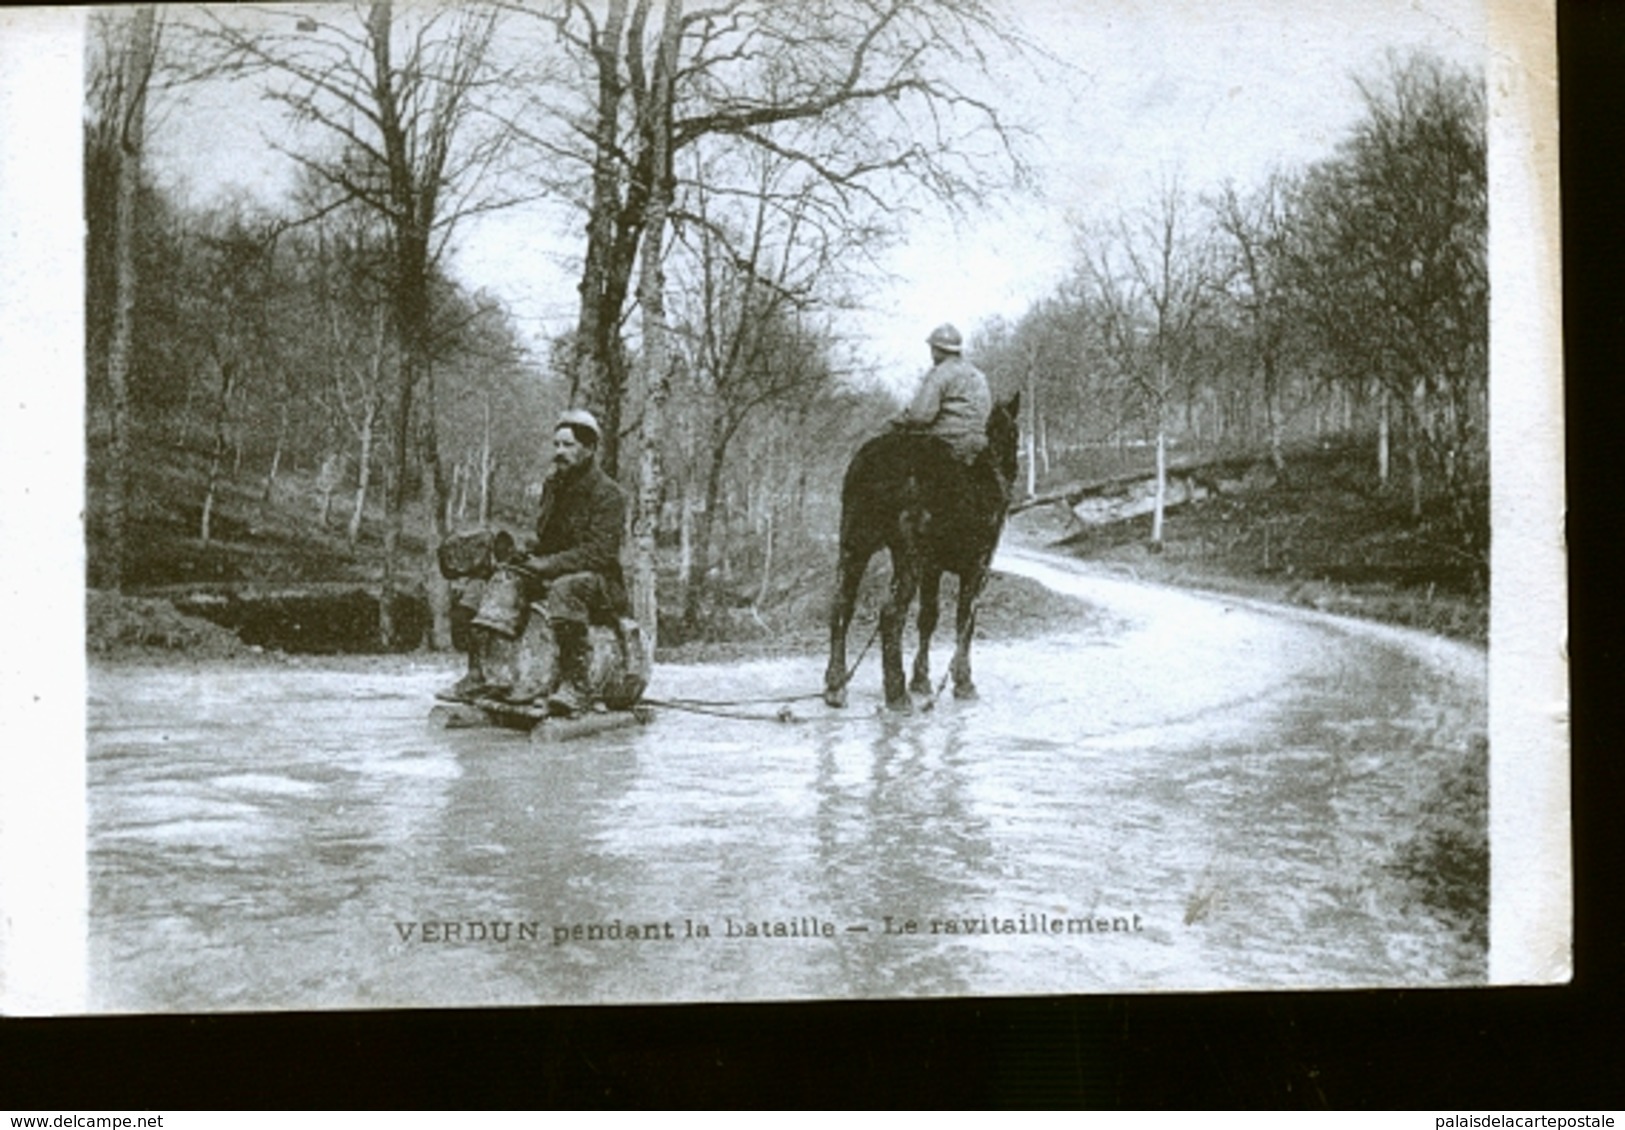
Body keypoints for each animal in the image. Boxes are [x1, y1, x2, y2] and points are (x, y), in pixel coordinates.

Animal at [819, 398, 1020, 712]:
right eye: (1016, 432)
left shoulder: (932, 568)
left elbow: (928, 617)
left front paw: (921, 679)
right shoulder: (977, 568)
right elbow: (965, 621)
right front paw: (963, 682)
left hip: (854, 546)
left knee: (842, 604)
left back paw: (836, 684)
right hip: (906, 556)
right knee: (891, 614)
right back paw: (896, 693)